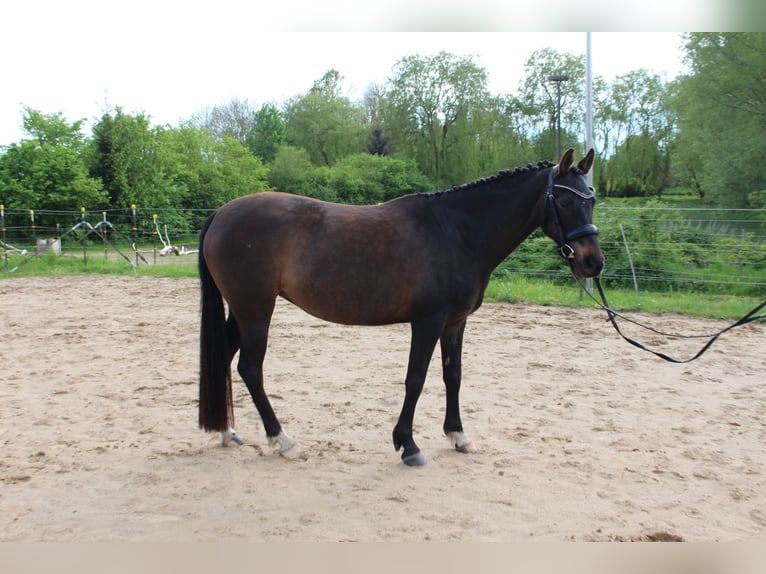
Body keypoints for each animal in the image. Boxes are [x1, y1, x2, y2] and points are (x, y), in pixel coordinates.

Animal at [198, 148, 608, 468]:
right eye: (566, 201)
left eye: (591, 199)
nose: (593, 262)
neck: (457, 232)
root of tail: (220, 214)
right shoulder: (427, 322)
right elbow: (416, 379)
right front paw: (408, 445)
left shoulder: (454, 323)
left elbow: (452, 376)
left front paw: (458, 436)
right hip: (255, 311)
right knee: (250, 369)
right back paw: (283, 440)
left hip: (241, 311)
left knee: (226, 358)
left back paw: (228, 431)